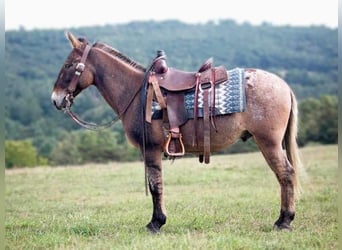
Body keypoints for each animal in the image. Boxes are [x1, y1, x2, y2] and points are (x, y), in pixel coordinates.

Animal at [50, 31, 302, 232]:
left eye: (69, 65)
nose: (55, 99)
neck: (136, 93)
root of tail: (284, 85)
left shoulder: (151, 150)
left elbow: (155, 186)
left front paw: (155, 223)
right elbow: (156, 184)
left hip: (268, 142)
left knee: (286, 174)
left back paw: (284, 221)